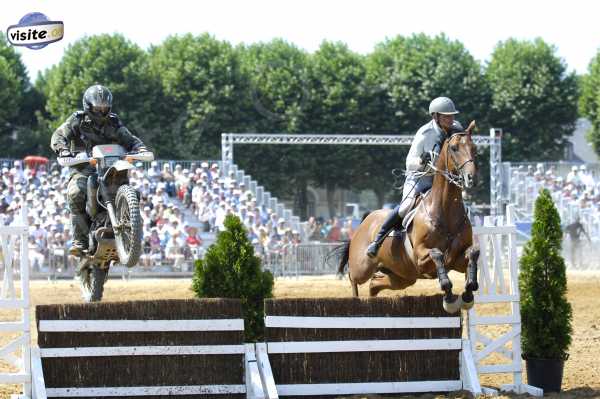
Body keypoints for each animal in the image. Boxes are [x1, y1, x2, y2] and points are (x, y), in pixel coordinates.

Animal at [340, 120, 480, 314]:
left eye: (474, 148)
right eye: (454, 148)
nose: (470, 178)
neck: (445, 210)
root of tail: (364, 221)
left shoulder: (456, 259)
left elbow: (473, 252)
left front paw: (467, 294)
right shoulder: (421, 257)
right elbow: (437, 254)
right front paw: (449, 298)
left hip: (402, 276)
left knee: (375, 284)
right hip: (363, 267)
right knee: (353, 277)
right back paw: (356, 298)